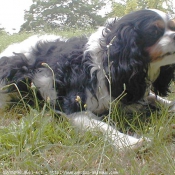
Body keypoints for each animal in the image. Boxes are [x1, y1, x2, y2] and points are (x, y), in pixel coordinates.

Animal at [0, 9, 175, 149]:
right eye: (154, 31)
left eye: (172, 27)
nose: (174, 34)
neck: (106, 62)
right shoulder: (72, 109)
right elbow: (102, 126)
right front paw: (129, 142)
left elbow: (157, 99)